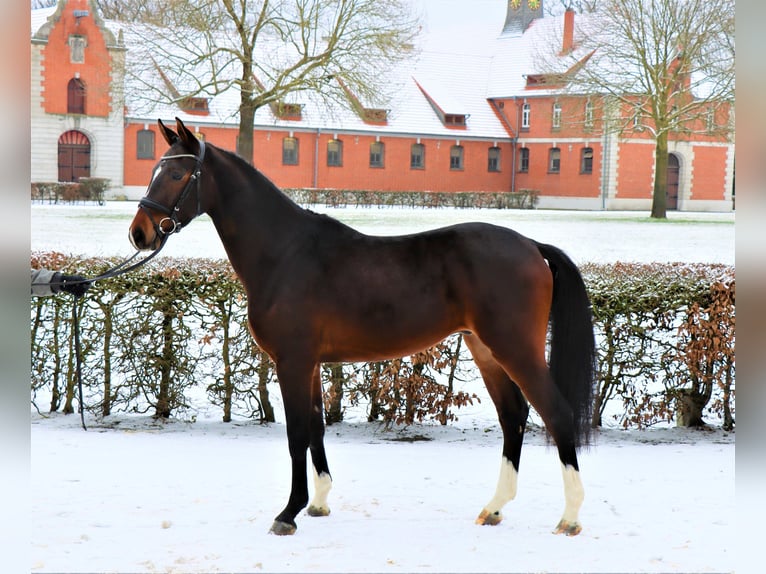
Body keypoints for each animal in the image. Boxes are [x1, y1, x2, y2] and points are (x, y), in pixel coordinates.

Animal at [129, 118, 596, 540]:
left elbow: (297, 433)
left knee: (556, 413)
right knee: (513, 415)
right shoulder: (311, 363)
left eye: (177, 174)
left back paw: (570, 517)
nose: (140, 233)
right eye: (153, 170)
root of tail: (532, 246)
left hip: (515, 348)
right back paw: (494, 509)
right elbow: (316, 426)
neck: (285, 252)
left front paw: (288, 513)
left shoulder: (292, 361)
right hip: (485, 349)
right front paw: (317, 503)